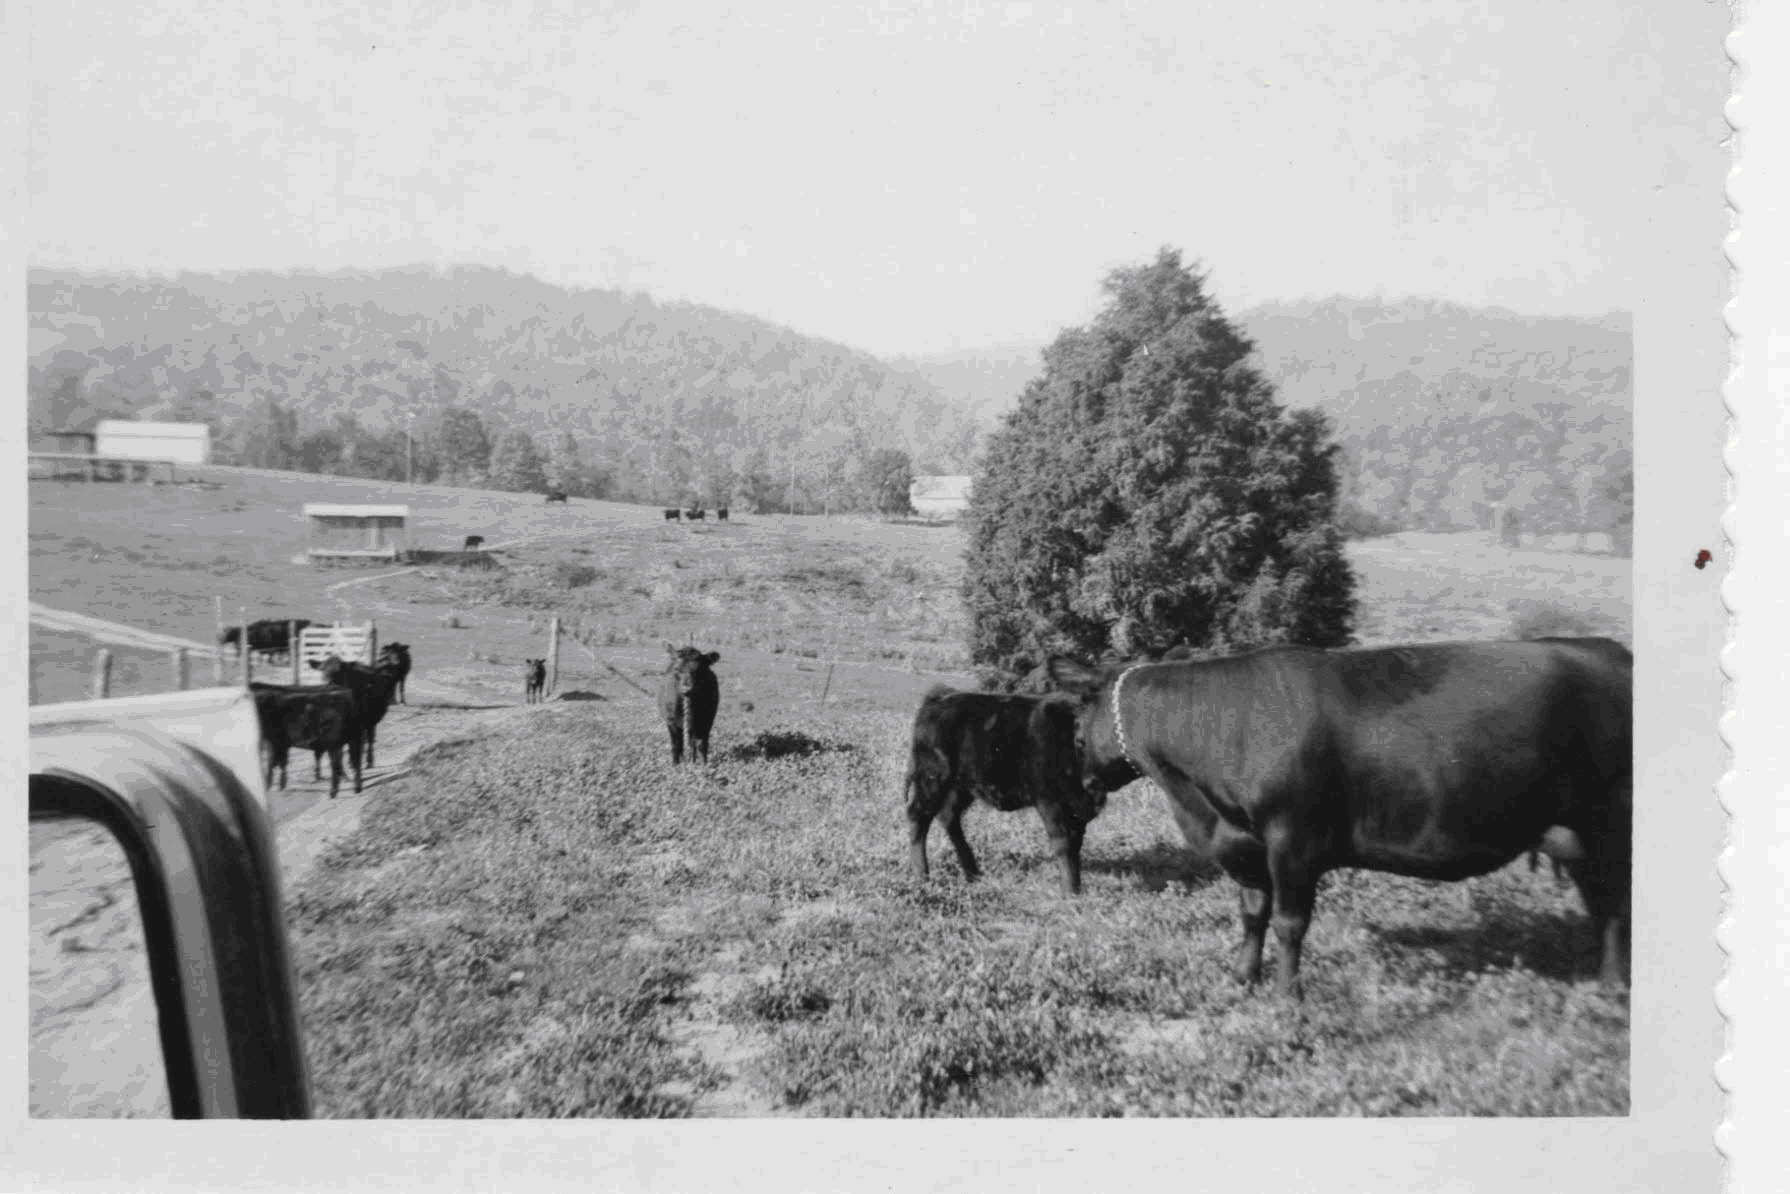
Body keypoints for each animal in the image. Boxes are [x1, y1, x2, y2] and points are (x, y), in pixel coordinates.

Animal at [904, 685, 1104, 895]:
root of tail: (939, 697)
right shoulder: (1051, 802)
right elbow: (1063, 843)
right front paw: (1071, 891)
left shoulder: (1078, 809)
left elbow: (1075, 843)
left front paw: (1075, 887)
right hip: (932, 780)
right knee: (919, 816)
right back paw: (922, 877)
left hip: (960, 788)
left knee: (948, 817)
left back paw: (973, 874)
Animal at [1047, 637, 1632, 998]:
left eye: (1077, 728)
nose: (1083, 787)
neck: (1200, 804)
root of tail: (1603, 646)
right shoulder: (1246, 845)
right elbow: (1252, 913)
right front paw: (1242, 977)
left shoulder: (1292, 840)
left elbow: (1289, 922)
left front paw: (1287, 996)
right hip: (1580, 834)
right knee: (1602, 905)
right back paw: (1607, 987)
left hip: (1609, 824)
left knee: (1613, 906)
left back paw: (1612, 989)